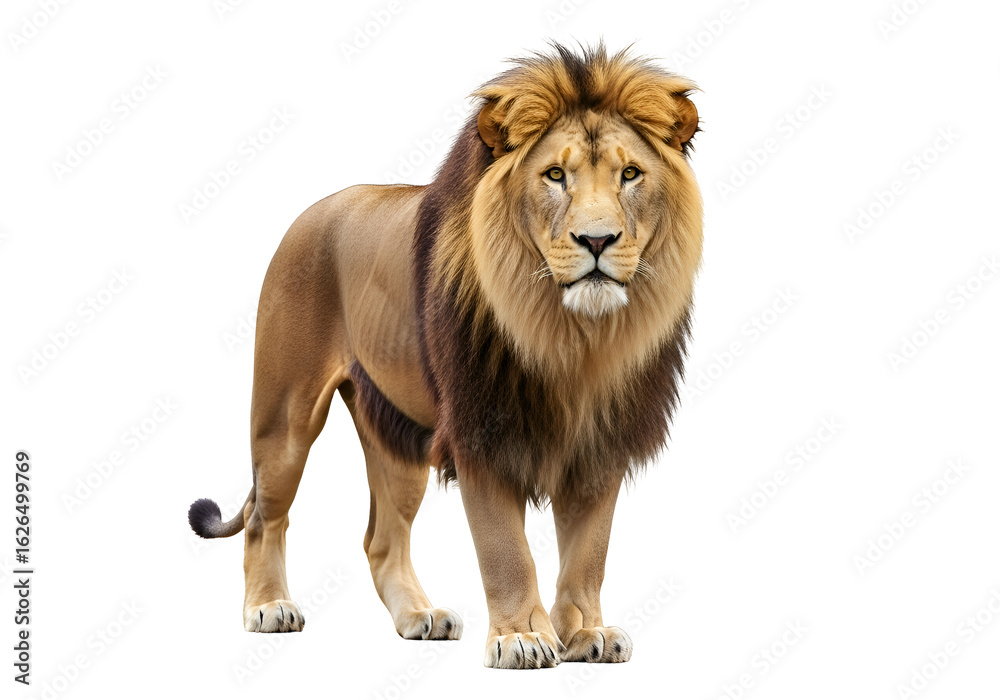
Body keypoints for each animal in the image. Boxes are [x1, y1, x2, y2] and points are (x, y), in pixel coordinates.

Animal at [189, 42, 702, 669]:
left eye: (630, 174)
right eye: (555, 175)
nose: (598, 241)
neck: (571, 337)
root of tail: (313, 210)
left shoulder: (601, 442)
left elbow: (589, 554)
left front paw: (587, 633)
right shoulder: (481, 431)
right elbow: (506, 550)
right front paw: (520, 638)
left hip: (398, 437)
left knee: (382, 541)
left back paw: (421, 616)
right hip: (284, 416)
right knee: (267, 517)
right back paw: (269, 608)